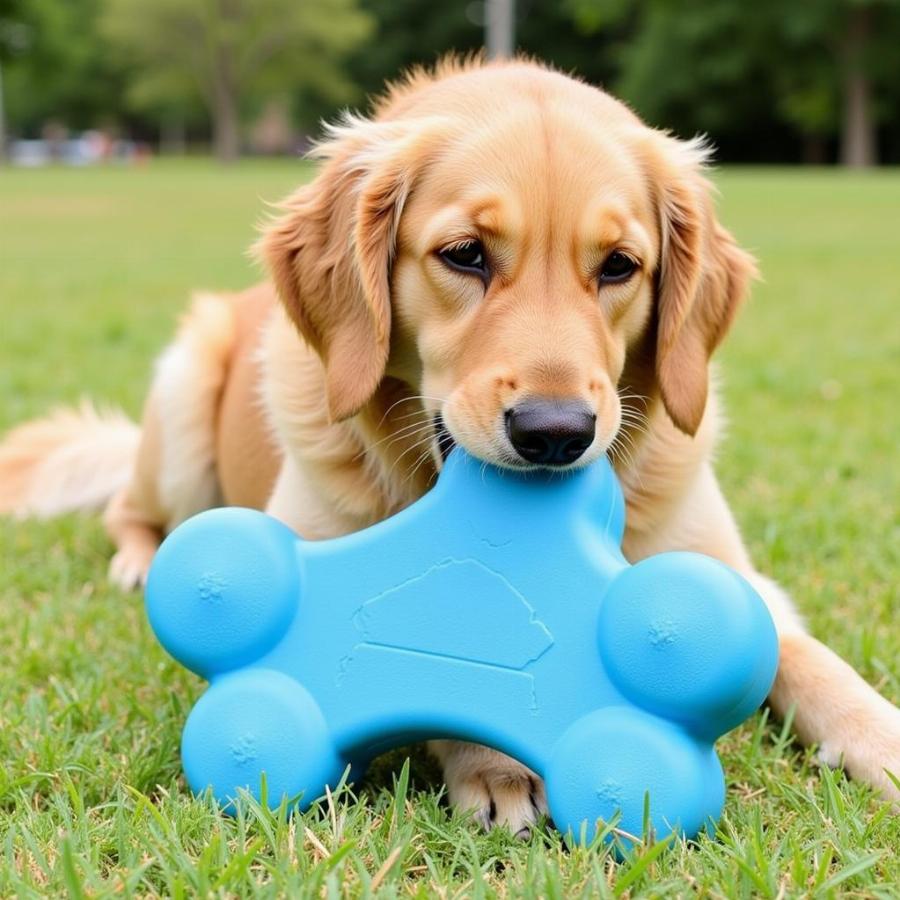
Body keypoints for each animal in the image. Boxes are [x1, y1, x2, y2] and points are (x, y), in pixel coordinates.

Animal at [1, 58, 900, 836]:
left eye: (619, 266)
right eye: (465, 254)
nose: (555, 434)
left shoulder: (730, 573)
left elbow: (812, 660)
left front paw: (881, 736)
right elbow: (439, 644)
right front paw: (492, 766)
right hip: (184, 398)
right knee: (128, 509)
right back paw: (137, 560)